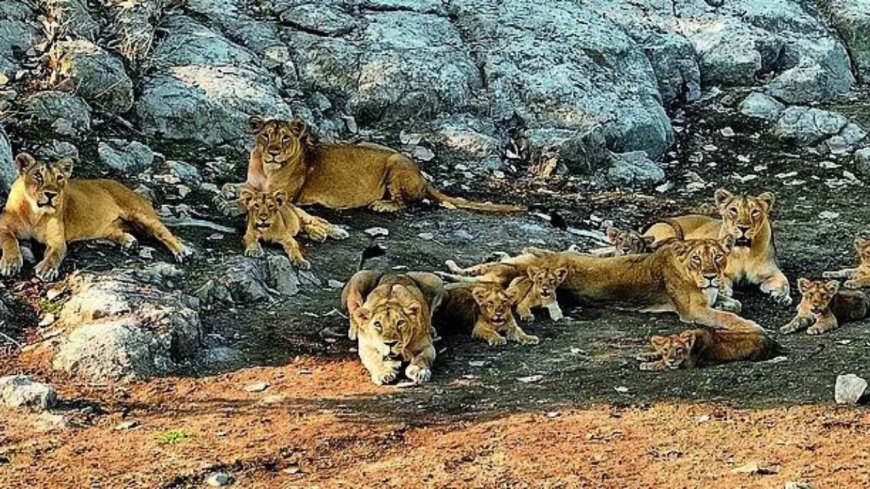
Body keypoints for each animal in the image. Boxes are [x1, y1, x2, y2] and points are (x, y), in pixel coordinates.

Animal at [0, 153, 191, 281]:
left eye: (59, 178)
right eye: (38, 176)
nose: (51, 194)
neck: (35, 213)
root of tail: (124, 186)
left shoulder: (57, 240)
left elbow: (55, 254)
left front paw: (47, 269)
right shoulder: (3, 226)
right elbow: (9, 241)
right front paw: (10, 263)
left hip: (141, 214)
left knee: (165, 233)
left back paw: (181, 251)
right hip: (111, 227)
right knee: (119, 232)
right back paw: (129, 243)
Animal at [220, 116, 523, 214]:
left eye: (284, 138)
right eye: (265, 136)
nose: (272, 152)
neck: (267, 169)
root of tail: (424, 177)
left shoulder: (283, 195)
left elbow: (254, 199)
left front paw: (230, 204)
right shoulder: (253, 181)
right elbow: (236, 186)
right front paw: (227, 190)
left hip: (395, 164)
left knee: (404, 203)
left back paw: (381, 204)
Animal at [636, 327, 781, 371]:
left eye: (679, 349)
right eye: (666, 350)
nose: (671, 360)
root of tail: (774, 342)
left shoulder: (689, 363)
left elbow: (663, 364)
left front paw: (647, 365)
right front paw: (644, 355)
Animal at [643, 189, 790, 305]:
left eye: (754, 212)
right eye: (733, 210)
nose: (743, 228)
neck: (743, 251)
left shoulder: (772, 271)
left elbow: (785, 282)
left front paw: (783, 296)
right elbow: (720, 278)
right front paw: (723, 290)